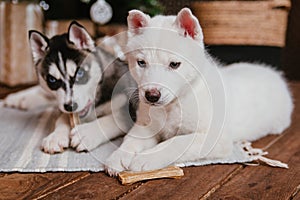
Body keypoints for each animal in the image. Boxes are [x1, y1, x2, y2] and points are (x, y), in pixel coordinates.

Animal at [3, 21, 137, 153]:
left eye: (80, 73)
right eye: (52, 80)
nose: (70, 106)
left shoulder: (128, 107)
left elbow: (112, 119)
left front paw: (87, 134)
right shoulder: (63, 106)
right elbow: (62, 117)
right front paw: (56, 136)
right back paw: (17, 98)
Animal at [104, 7, 292, 175]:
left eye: (174, 64)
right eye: (141, 63)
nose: (151, 96)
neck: (175, 104)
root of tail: (274, 73)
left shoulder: (215, 138)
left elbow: (176, 142)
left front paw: (146, 158)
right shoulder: (146, 126)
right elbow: (131, 139)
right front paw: (118, 155)